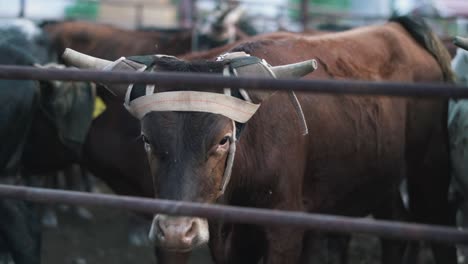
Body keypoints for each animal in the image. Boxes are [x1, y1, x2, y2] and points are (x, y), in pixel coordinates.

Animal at [64, 16, 456, 264]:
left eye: (223, 139)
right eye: (146, 138)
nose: (177, 232)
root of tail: (400, 29)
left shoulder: (284, 229)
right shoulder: (231, 239)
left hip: (430, 168)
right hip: (380, 177)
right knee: (397, 228)